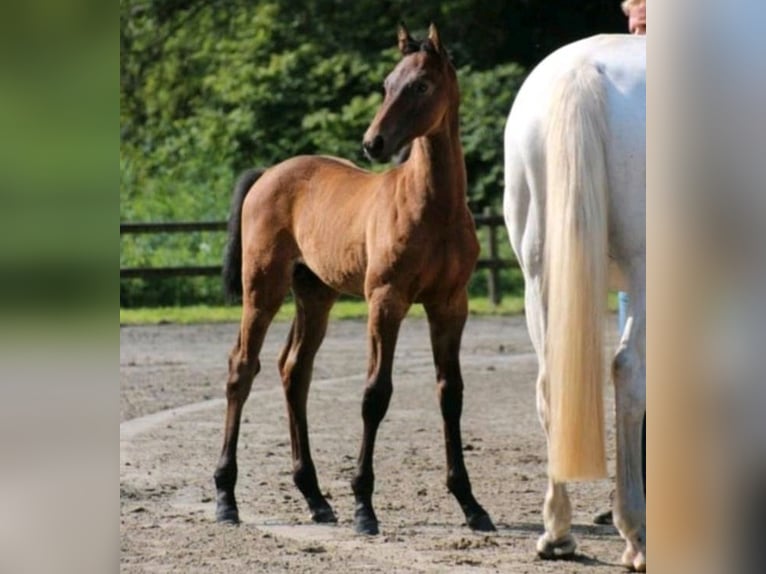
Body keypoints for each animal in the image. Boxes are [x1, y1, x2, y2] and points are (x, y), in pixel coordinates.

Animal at [213, 23, 495, 536]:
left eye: (420, 85)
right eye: (386, 84)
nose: (373, 143)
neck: (434, 208)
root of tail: (269, 174)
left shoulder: (450, 304)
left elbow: (451, 394)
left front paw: (470, 504)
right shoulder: (386, 300)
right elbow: (375, 394)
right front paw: (365, 505)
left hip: (315, 295)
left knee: (294, 371)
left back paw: (315, 497)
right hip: (262, 289)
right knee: (242, 367)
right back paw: (226, 497)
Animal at [503, 34, 646, 570]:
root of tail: (583, 70)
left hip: (538, 276)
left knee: (549, 384)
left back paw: (557, 533)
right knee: (628, 370)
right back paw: (635, 534)